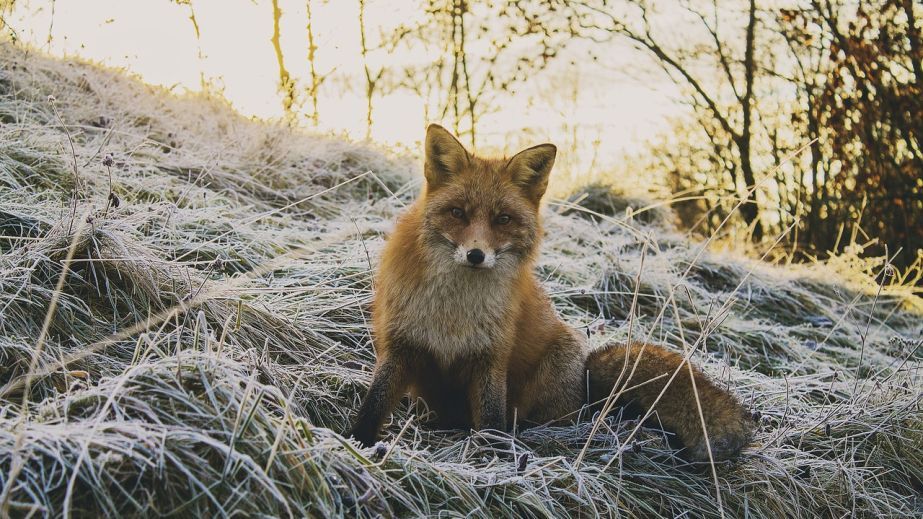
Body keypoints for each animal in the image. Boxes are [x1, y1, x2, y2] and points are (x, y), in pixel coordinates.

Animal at [350, 124, 756, 462]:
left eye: (503, 219)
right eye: (457, 213)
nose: (476, 255)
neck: (454, 310)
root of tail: (586, 385)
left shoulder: (491, 357)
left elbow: (492, 420)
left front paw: (494, 458)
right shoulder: (401, 344)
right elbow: (374, 403)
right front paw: (357, 445)